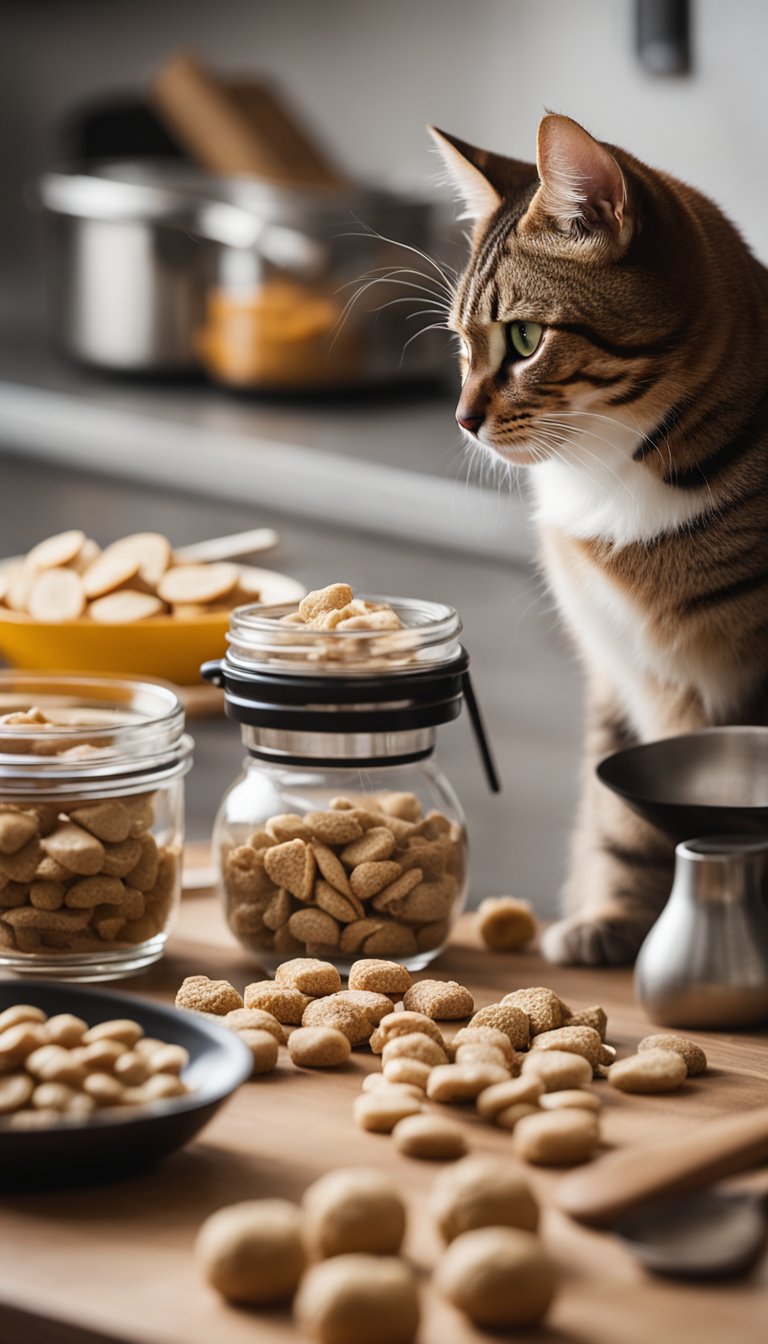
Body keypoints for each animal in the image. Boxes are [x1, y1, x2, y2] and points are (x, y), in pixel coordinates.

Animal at [430, 110, 768, 962]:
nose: (462, 418)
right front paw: (614, 916)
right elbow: (621, 811)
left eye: (523, 338)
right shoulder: (618, 667)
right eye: (461, 343)